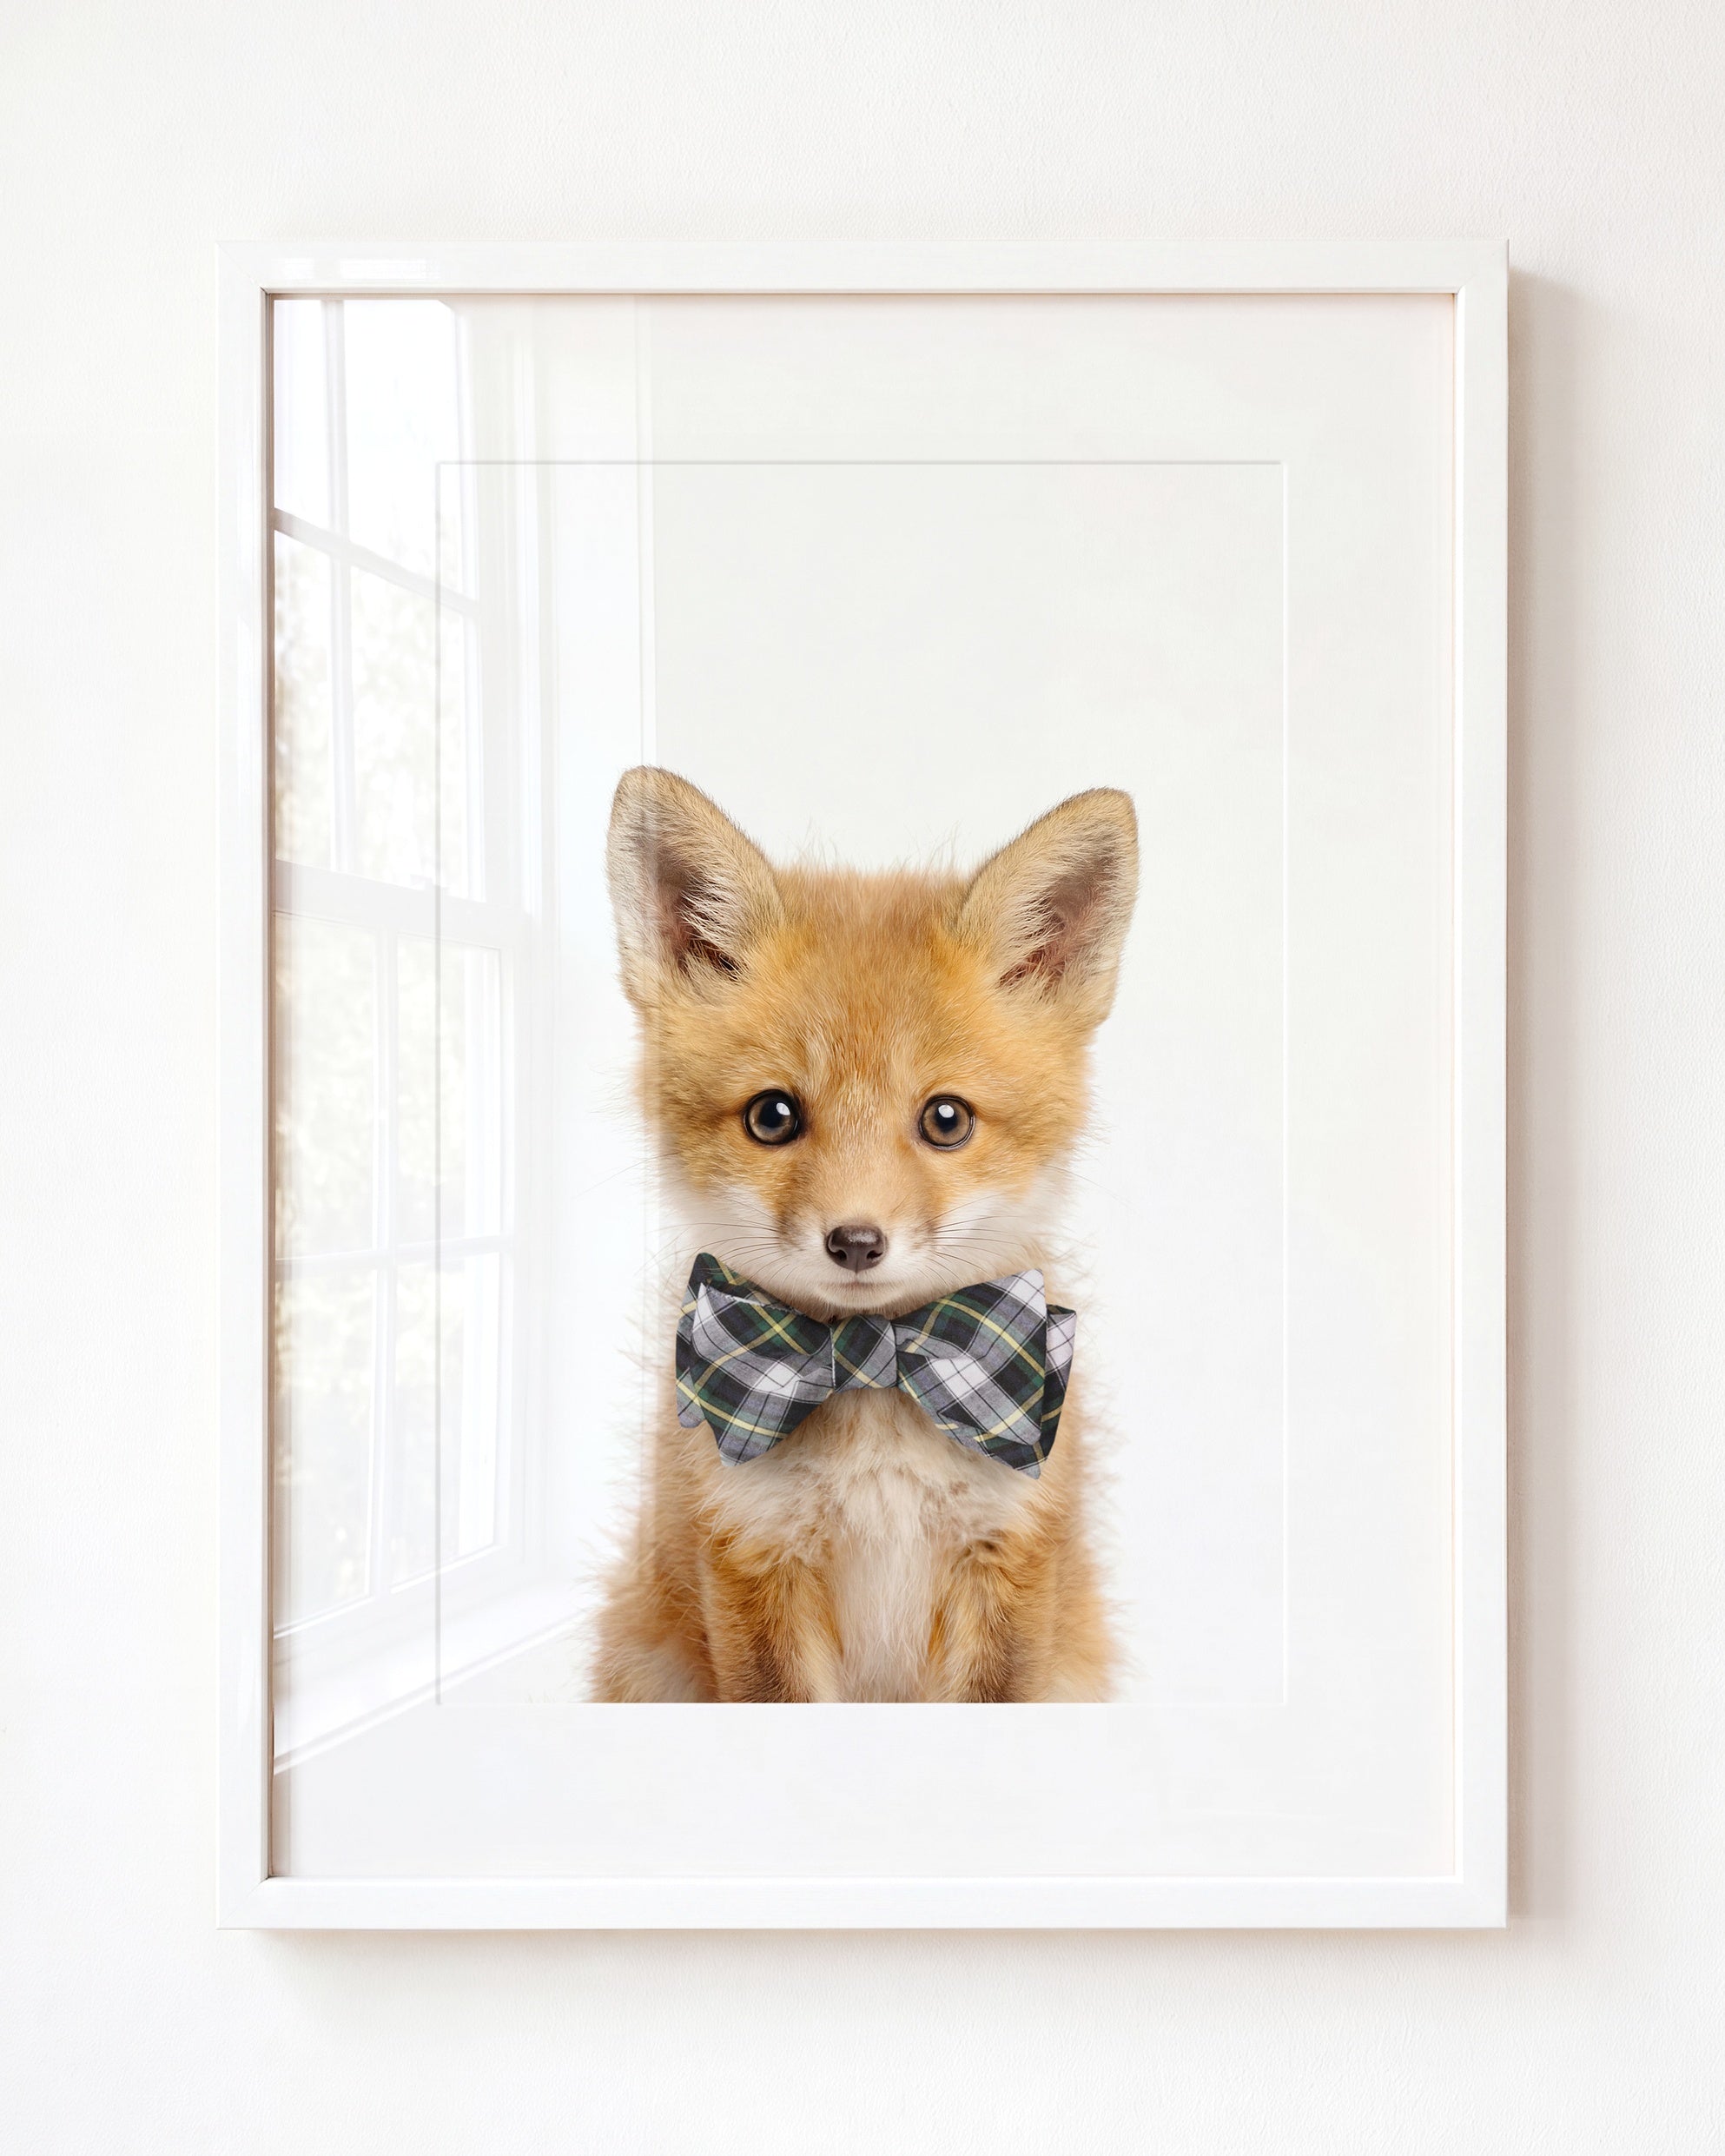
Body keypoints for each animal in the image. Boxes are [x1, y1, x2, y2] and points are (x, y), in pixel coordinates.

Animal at [590, 765, 1139, 1703]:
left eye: (946, 1120)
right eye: (772, 1116)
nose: (855, 1242)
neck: (874, 1371)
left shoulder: (1009, 1558)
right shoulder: (752, 1556)